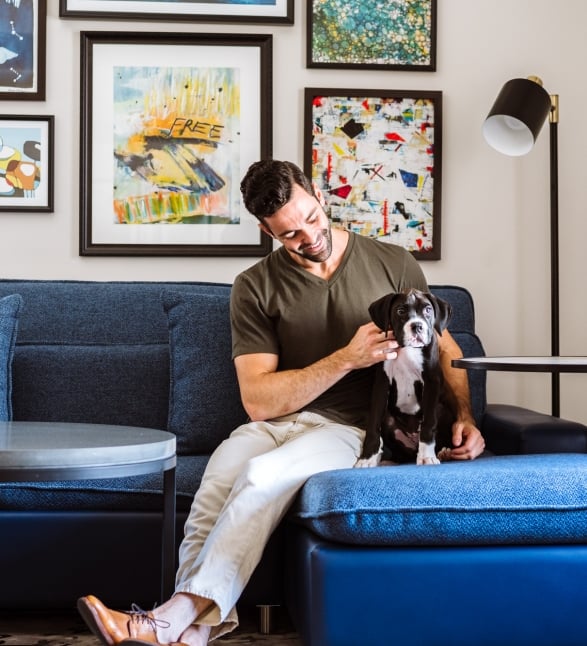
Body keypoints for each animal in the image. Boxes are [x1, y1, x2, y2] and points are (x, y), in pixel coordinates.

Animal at [354, 292, 460, 468]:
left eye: (428, 310)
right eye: (400, 311)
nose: (417, 326)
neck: (407, 349)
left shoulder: (431, 383)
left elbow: (429, 423)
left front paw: (426, 457)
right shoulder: (382, 384)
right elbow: (373, 425)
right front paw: (367, 458)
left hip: (441, 409)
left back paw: (444, 452)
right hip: (388, 419)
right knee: (400, 453)